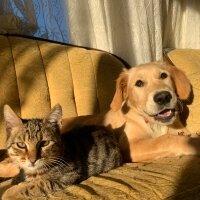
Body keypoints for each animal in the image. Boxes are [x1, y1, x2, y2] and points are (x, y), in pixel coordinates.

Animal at [62, 61, 200, 162]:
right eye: (139, 83)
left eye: (163, 75)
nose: (163, 97)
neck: (154, 124)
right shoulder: (130, 146)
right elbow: (165, 139)